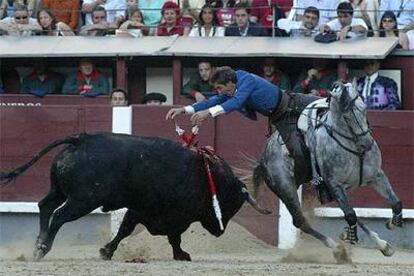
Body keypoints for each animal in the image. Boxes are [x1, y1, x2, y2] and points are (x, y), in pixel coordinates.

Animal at [0, 133, 268, 260]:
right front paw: (182, 255)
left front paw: (106, 251)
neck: (207, 175)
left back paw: (37, 244)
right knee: (58, 216)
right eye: (232, 205)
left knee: (44, 206)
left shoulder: (141, 210)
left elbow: (125, 230)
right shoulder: (173, 216)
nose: (220, 232)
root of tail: (82, 139)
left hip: (60, 190)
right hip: (83, 200)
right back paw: (42, 248)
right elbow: (174, 237)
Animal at [254, 82, 402, 264]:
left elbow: (395, 202)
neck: (353, 145)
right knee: (301, 221)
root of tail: (263, 157)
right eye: (347, 117)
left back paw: (383, 245)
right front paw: (349, 238)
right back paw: (337, 248)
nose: (367, 144)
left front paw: (393, 223)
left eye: (364, 109)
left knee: (350, 212)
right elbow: (350, 214)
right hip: (286, 189)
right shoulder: (334, 183)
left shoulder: (376, 176)